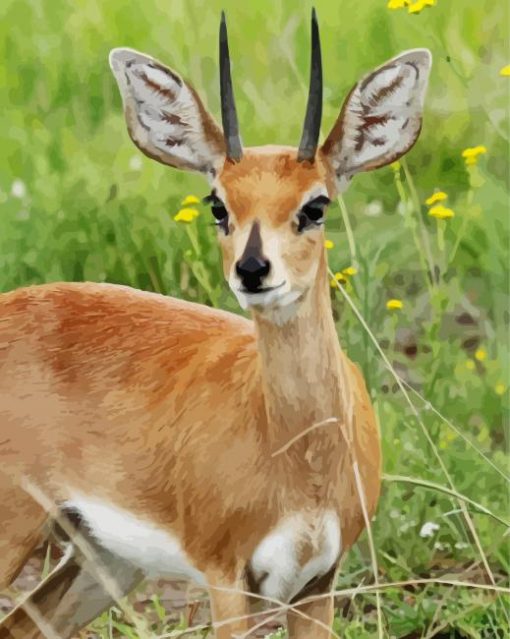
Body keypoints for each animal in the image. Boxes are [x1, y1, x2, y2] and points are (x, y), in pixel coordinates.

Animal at [0, 10, 430, 639]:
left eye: (316, 205)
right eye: (218, 205)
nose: (253, 270)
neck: (301, 454)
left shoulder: (318, 584)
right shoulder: (227, 581)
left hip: (103, 557)